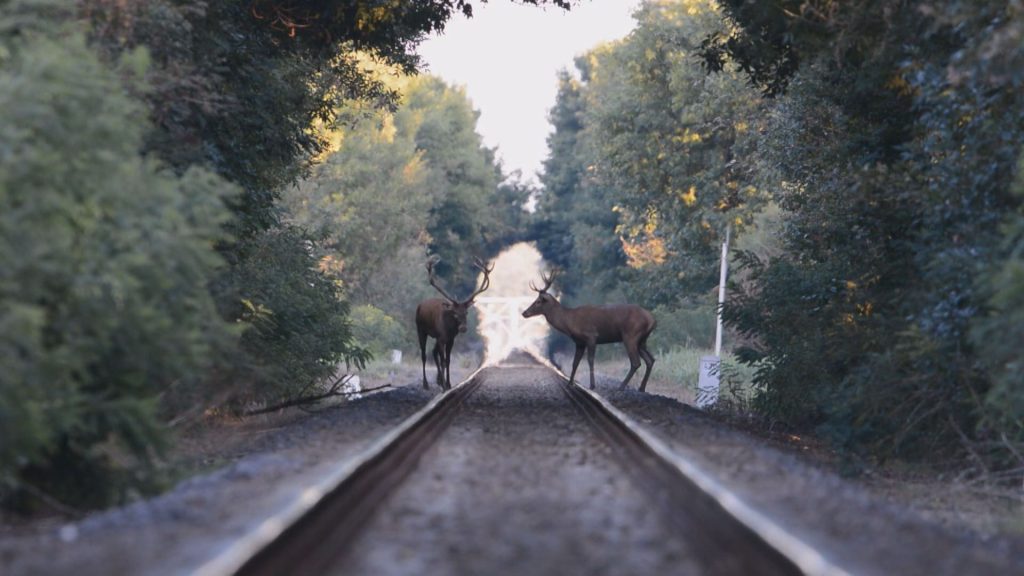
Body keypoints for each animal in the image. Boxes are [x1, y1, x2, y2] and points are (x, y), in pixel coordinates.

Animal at [415, 258, 495, 387]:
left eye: (466, 312)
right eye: (455, 313)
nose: (463, 328)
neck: (448, 329)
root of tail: (420, 305)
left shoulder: (450, 339)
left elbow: (447, 361)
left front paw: (448, 383)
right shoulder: (441, 338)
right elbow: (443, 361)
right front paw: (444, 386)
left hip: (436, 337)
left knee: (433, 352)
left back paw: (438, 380)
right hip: (420, 329)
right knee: (424, 354)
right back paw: (426, 383)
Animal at [520, 270, 655, 389]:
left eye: (538, 301)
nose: (524, 313)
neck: (569, 322)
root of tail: (652, 320)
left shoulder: (591, 336)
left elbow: (590, 360)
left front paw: (592, 385)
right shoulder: (579, 342)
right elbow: (575, 362)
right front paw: (570, 383)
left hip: (631, 335)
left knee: (636, 362)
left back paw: (621, 386)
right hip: (642, 340)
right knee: (650, 360)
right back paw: (641, 388)